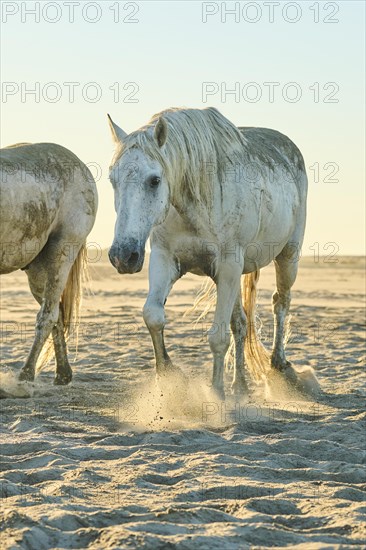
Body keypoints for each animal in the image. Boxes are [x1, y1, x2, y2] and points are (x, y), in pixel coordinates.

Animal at [0, 142, 98, 392]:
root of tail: (81, 166)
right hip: (37, 271)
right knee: (57, 312)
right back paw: (63, 375)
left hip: (61, 254)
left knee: (48, 315)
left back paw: (26, 376)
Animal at [107, 109, 316, 402]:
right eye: (112, 180)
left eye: (155, 180)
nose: (122, 255)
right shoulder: (164, 259)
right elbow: (153, 316)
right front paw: (168, 375)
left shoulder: (228, 266)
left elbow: (218, 336)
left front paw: (216, 393)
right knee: (240, 323)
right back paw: (240, 387)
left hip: (288, 256)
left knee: (280, 302)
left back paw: (279, 365)